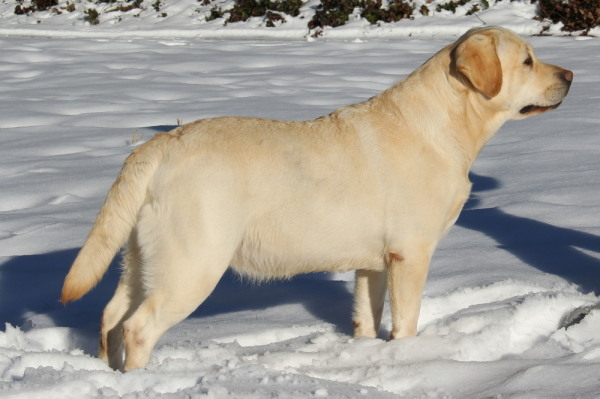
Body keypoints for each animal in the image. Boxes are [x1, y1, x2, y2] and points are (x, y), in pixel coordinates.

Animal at [59, 26, 572, 372]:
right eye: (527, 60)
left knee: (110, 315)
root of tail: (158, 145)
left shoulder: (373, 264)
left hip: (142, 259)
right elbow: (405, 322)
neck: (445, 125)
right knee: (138, 327)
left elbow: (366, 320)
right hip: (192, 266)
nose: (570, 73)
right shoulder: (410, 255)